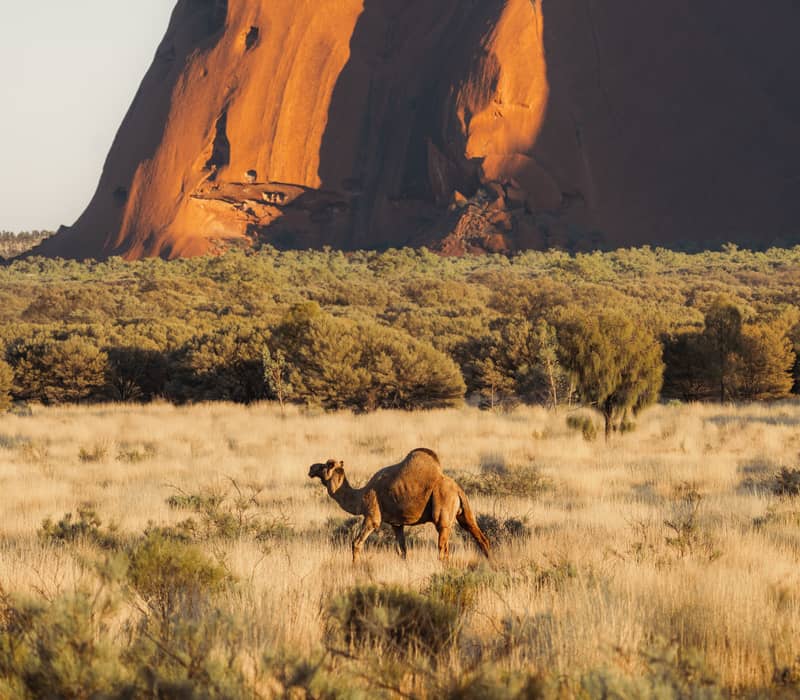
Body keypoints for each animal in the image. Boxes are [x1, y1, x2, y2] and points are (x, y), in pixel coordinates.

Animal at [308, 448, 491, 562]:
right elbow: (402, 550)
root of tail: (458, 489)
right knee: (480, 538)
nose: (311, 467)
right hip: (464, 512)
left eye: (326, 465)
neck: (360, 496)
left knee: (443, 548)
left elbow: (356, 543)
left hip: (443, 509)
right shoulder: (397, 523)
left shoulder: (372, 516)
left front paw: (355, 568)